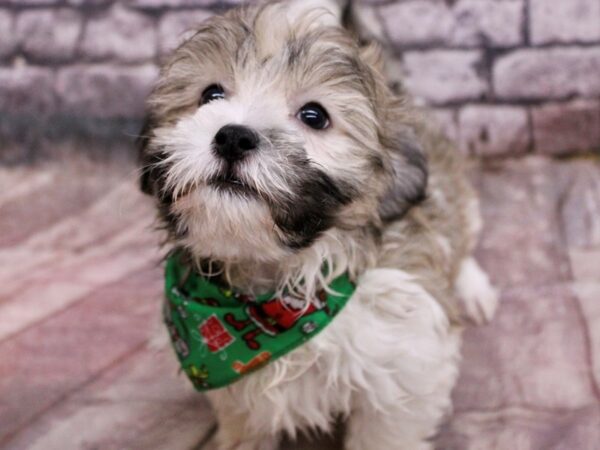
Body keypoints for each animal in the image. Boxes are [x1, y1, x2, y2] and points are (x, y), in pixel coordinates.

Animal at [138, 1, 500, 448]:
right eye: (211, 94)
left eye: (315, 116)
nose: (233, 137)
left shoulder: (405, 365)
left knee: (464, 235)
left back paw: (472, 289)